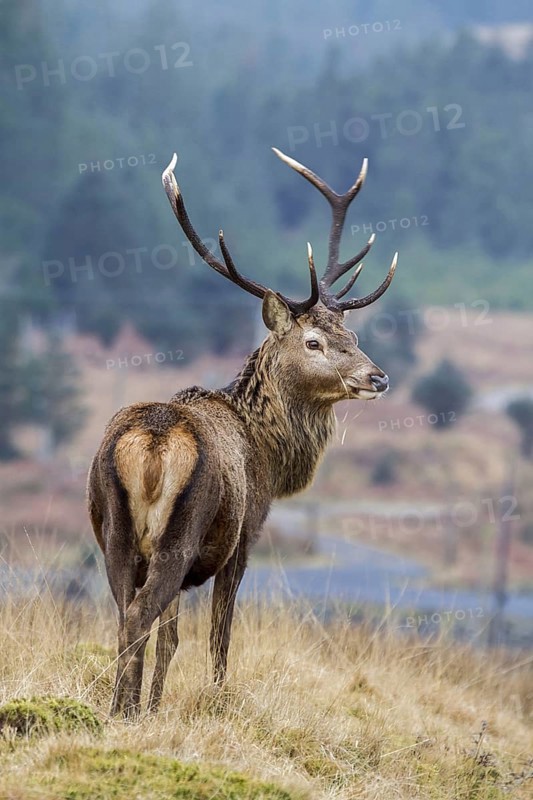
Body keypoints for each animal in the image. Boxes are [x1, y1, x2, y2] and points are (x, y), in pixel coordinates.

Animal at [87, 147, 398, 717]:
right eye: (314, 342)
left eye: (352, 334)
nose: (378, 377)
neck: (269, 456)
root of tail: (153, 444)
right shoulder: (244, 537)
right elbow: (218, 639)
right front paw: (213, 699)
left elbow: (170, 640)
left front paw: (157, 707)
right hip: (180, 534)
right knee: (140, 615)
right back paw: (125, 711)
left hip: (114, 531)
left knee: (126, 617)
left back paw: (122, 707)